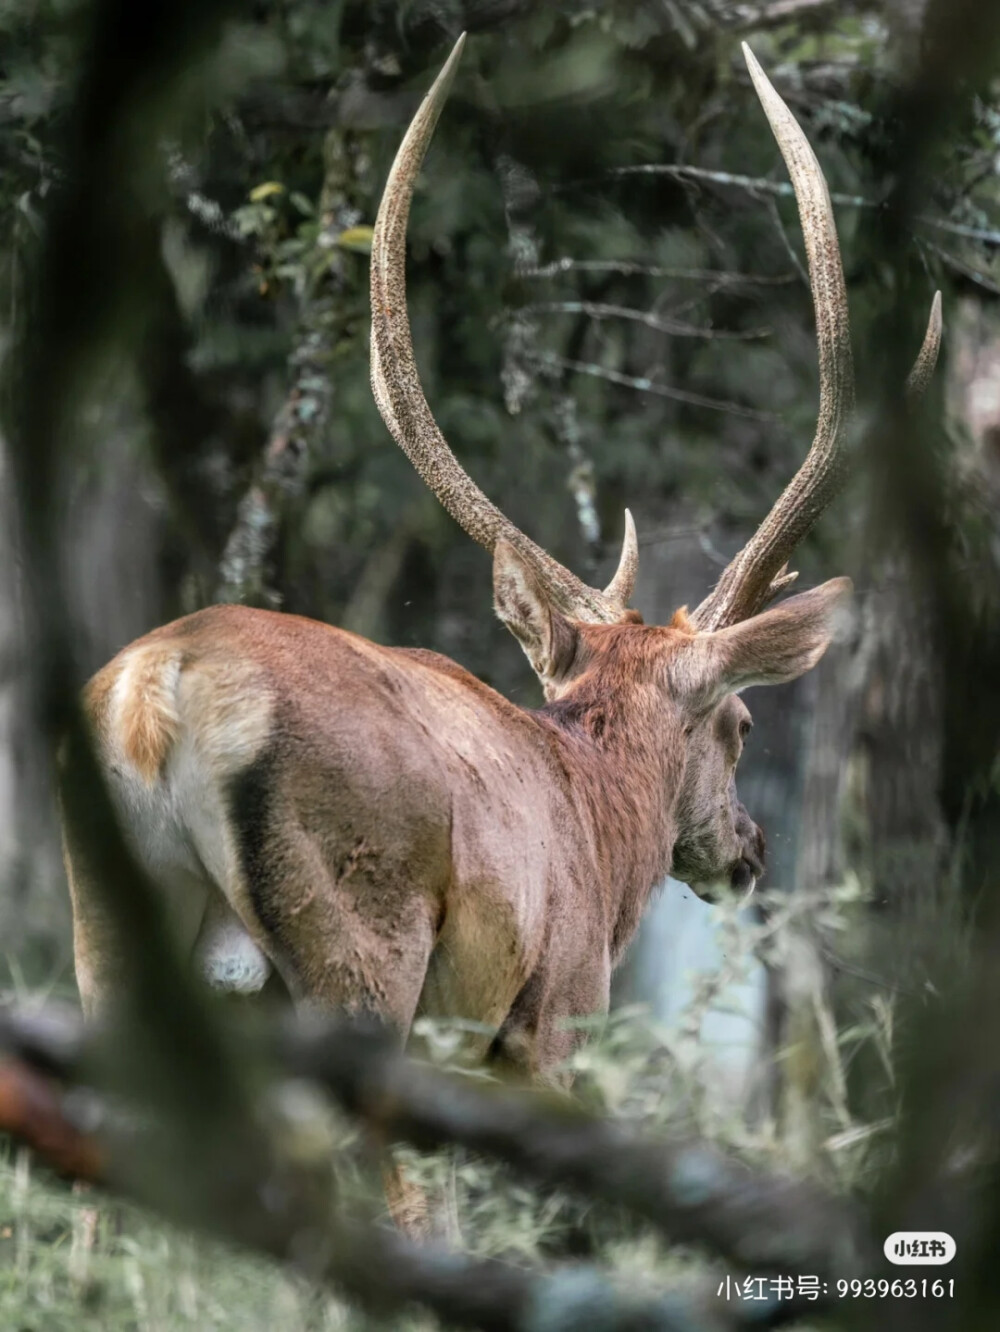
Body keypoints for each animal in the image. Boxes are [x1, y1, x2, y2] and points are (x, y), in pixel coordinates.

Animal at [60, 38, 937, 1092]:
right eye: (744, 723)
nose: (752, 850)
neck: (602, 827)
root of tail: (153, 697)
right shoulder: (553, 1021)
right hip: (361, 946)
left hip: (105, 942)